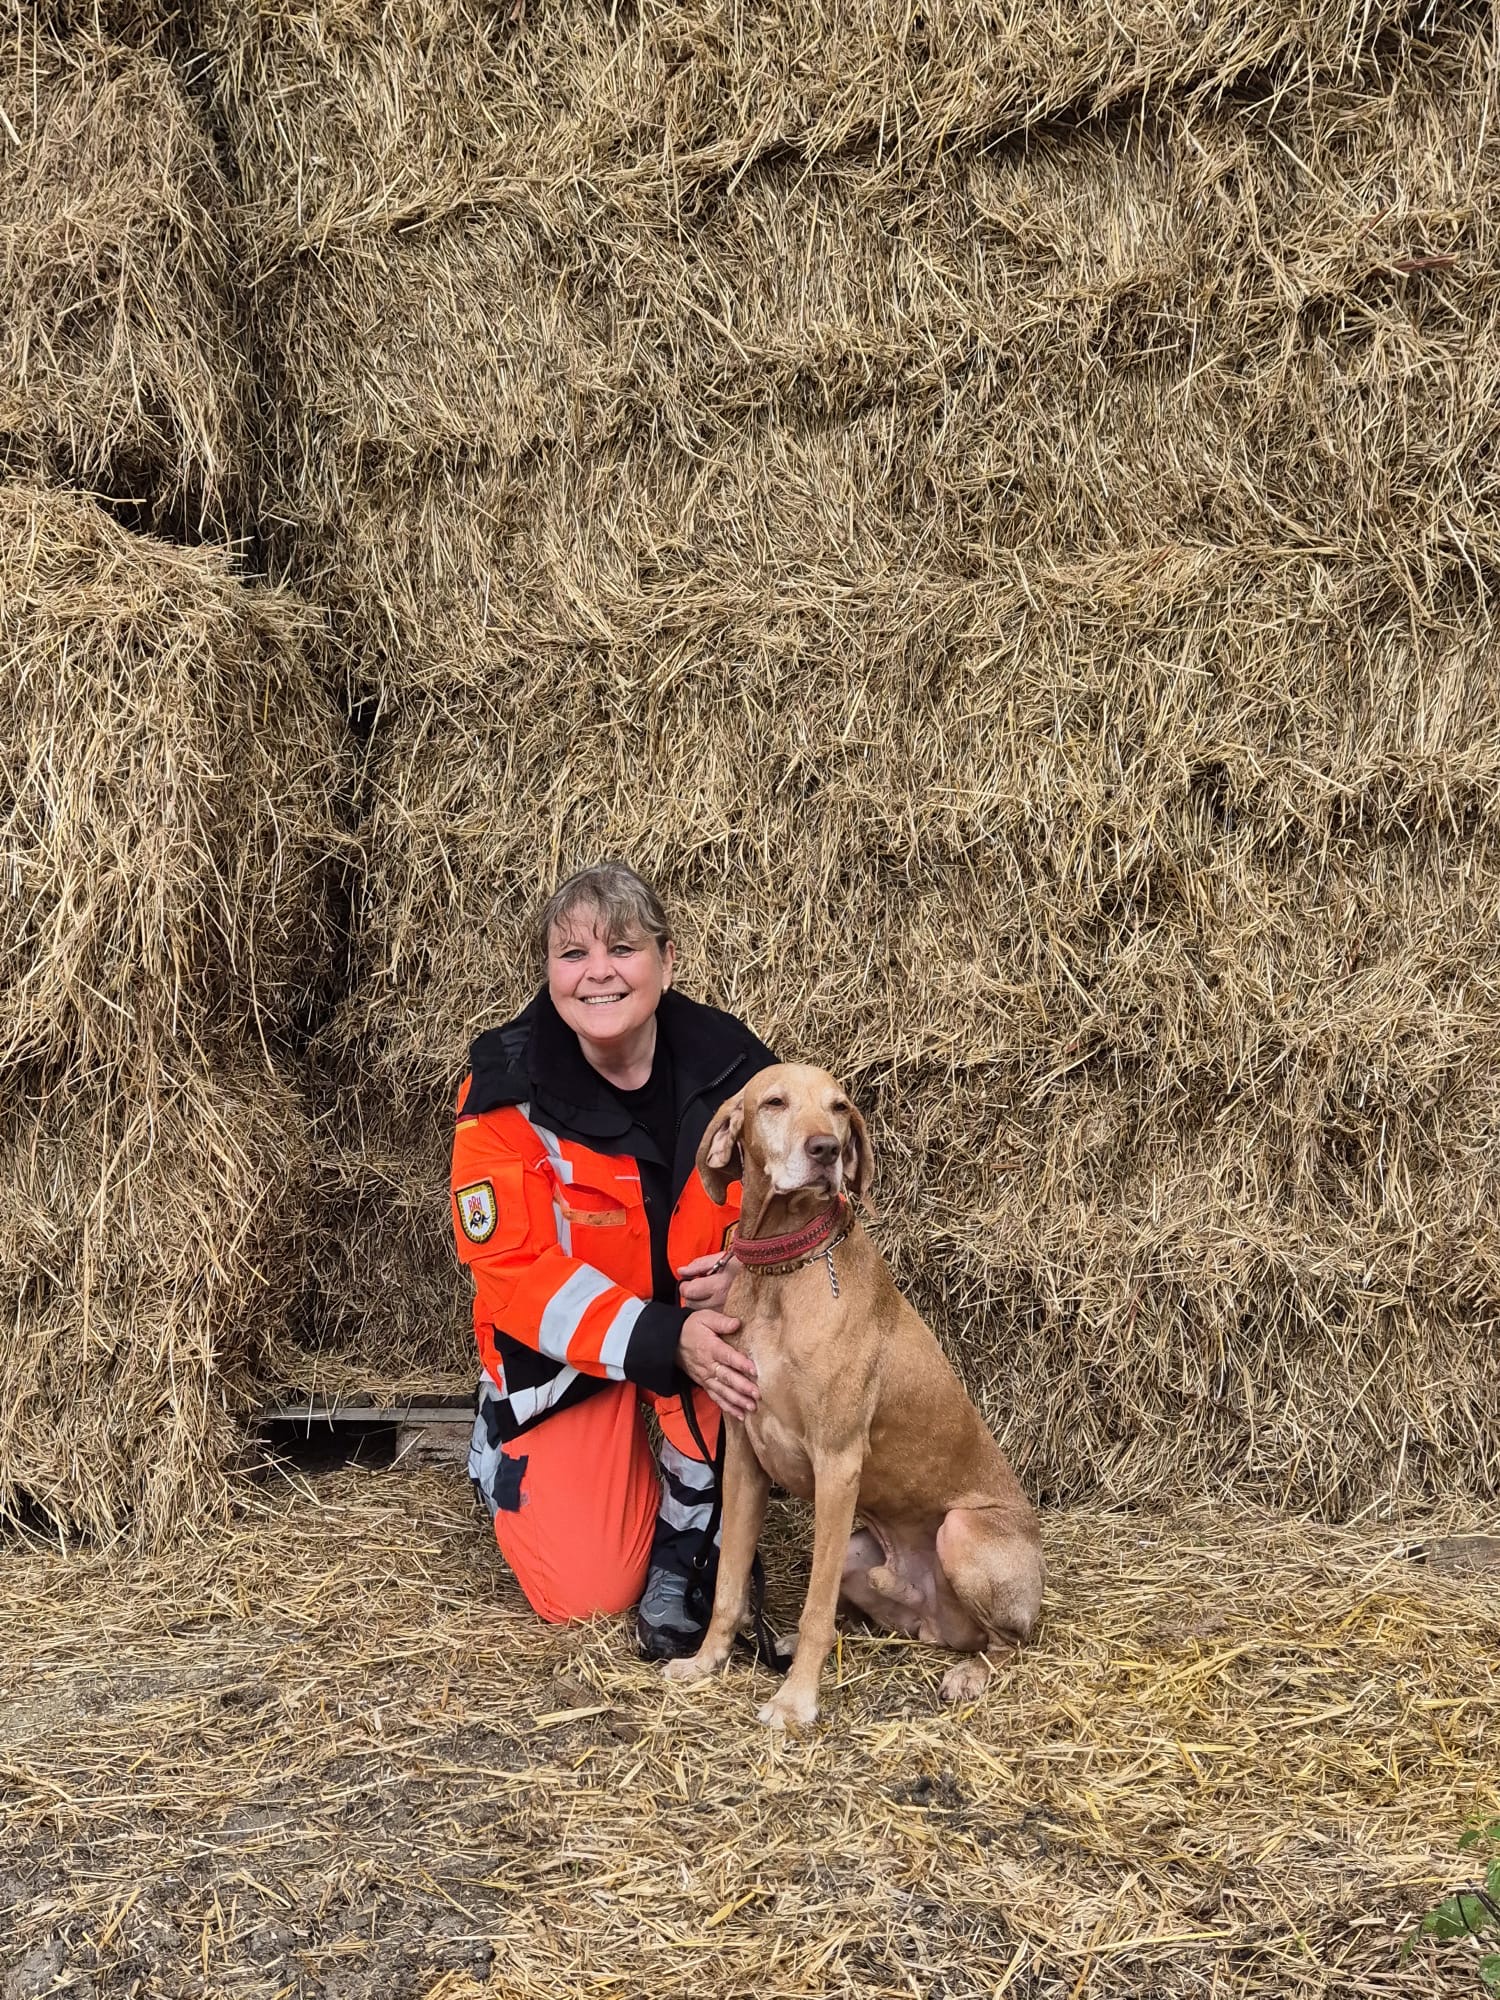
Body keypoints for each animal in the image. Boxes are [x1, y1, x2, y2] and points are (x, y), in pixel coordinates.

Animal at [664, 1063, 1043, 1729]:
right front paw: (706, 1662)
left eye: (840, 1107)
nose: (826, 1151)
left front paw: (795, 1702)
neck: (783, 1273)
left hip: (960, 1534)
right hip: (856, 1549)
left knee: (1007, 1644)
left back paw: (968, 1673)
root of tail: (936, 1624)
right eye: (774, 1102)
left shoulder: (838, 1463)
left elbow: (813, 1607)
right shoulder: (743, 1458)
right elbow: (730, 1582)